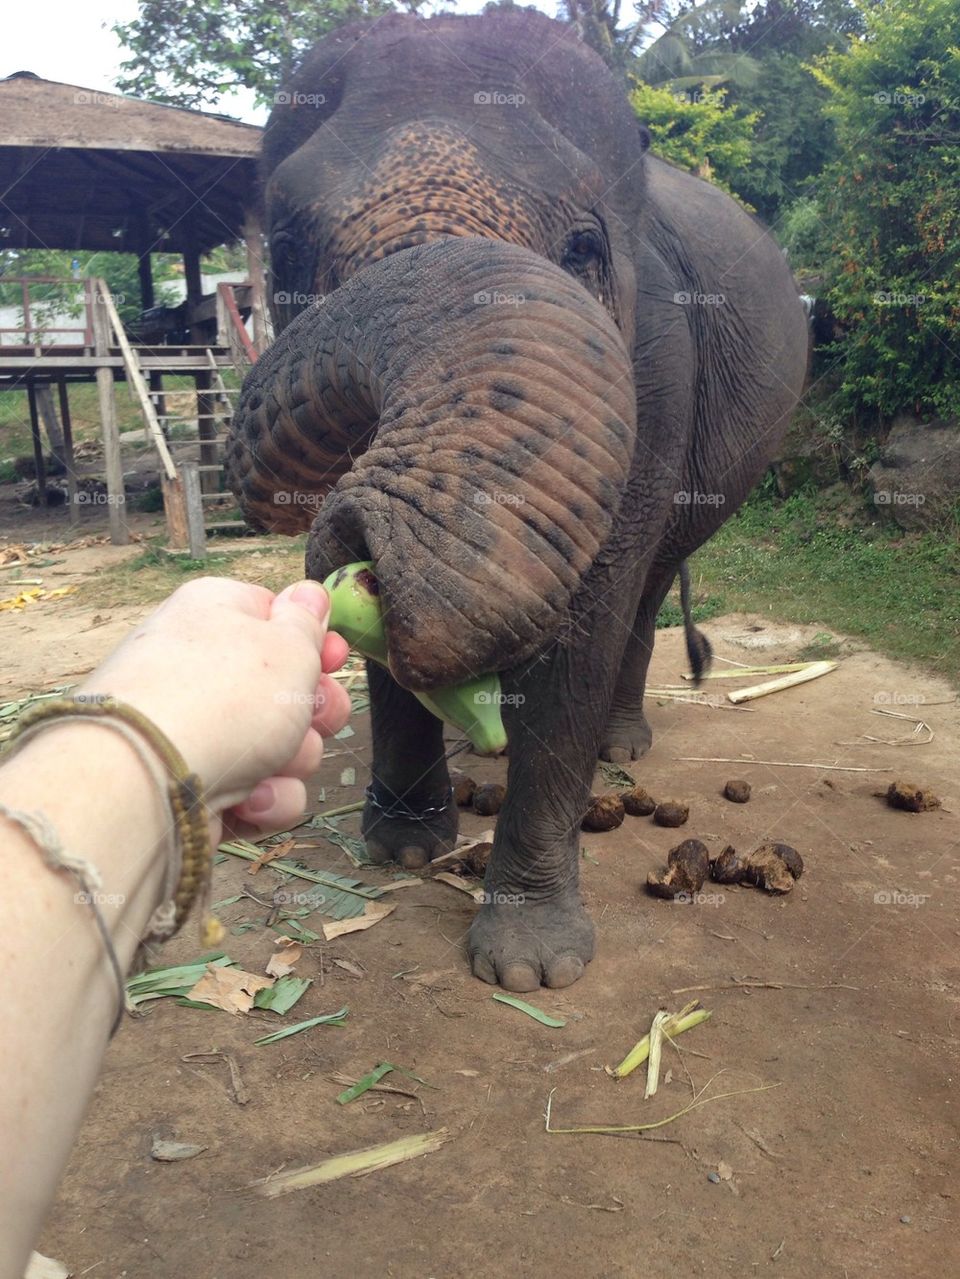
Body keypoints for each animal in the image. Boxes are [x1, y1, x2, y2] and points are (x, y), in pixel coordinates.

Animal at [226, 9, 808, 992]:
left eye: (583, 249)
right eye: (290, 255)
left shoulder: (660, 370)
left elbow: (592, 611)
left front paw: (531, 968)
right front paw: (402, 850)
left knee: (650, 584)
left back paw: (620, 748)